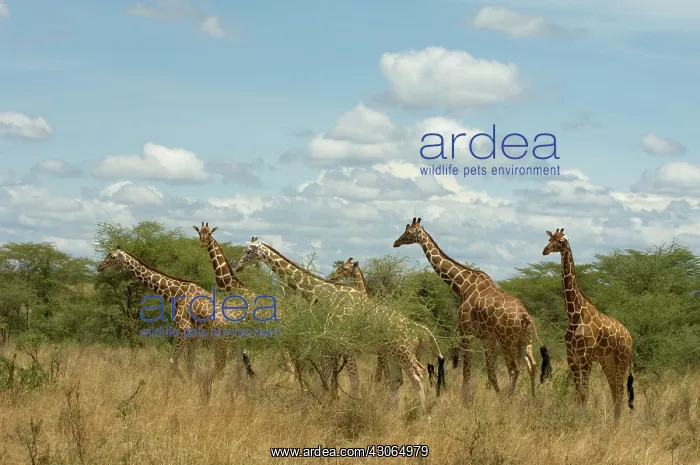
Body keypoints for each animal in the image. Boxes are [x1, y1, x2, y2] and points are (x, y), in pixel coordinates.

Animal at [96, 247, 230, 388]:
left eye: (112, 256)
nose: (100, 267)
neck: (176, 294)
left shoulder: (184, 330)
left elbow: (172, 360)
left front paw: (181, 384)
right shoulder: (193, 337)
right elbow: (189, 365)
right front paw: (189, 385)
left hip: (220, 340)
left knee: (221, 364)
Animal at [235, 237, 446, 410]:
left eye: (248, 251)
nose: (238, 266)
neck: (327, 294)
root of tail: (421, 331)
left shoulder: (346, 344)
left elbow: (354, 382)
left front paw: (355, 409)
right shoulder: (333, 344)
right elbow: (329, 377)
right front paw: (327, 403)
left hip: (402, 352)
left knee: (418, 374)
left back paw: (424, 415)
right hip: (393, 353)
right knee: (397, 380)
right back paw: (393, 413)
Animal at [393, 217, 551, 403]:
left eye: (408, 232)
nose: (396, 242)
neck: (462, 285)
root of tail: (525, 315)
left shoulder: (466, 330)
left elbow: (466, 370)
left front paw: (466, 399)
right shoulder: (488, 338)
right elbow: (490, 372)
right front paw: (495, 396)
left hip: (507, 340)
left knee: (514, 368)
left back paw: (509, 401)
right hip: (524, 340)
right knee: (531, 365)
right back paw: (532, 399)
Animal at [542, 228, 634, 423]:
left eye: (560, 241)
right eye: (549, 239)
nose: (545, 250)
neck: (574, 314)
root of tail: (629, 336)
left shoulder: (585, 356)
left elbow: (584, 392)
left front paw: (581, 420)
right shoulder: (572, 357)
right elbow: (577, 392)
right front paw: (576, 417)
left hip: (621, 358)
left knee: (620, 390)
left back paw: (617, 423)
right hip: (607, 360)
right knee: (614, 389)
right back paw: (614, 422)